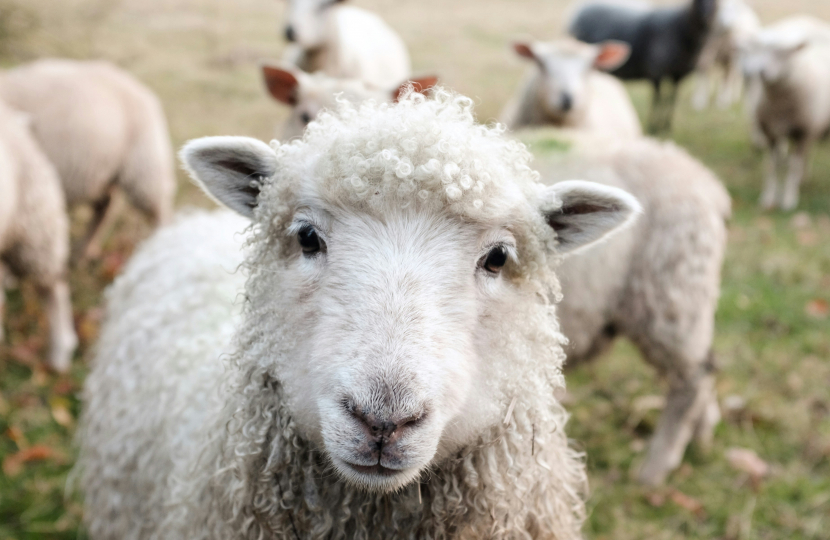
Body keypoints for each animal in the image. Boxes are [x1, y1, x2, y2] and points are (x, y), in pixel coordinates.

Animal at [0, 59, 176, 260]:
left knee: (160, 209)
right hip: (102, 172)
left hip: (145, 165)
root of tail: (140, 88)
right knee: (105, 207)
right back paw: (85, 250)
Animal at [569, 0, 718, 133]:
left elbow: (671, 99)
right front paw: (654, 126)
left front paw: (666, 125)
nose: (705, 14)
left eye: (716, 2)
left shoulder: (678, 75)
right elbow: (658, 99)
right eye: (697, 1)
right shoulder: (656, 72)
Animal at [741, 16, 830, 210]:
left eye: (784, 53)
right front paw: (768, 198)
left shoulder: (803, 132)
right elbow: (772, 166)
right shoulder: (770, 132)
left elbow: (793, 167)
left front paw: (789, 199)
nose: (761, 72)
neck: (780, 104)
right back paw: (803, 179)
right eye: (760, 49)